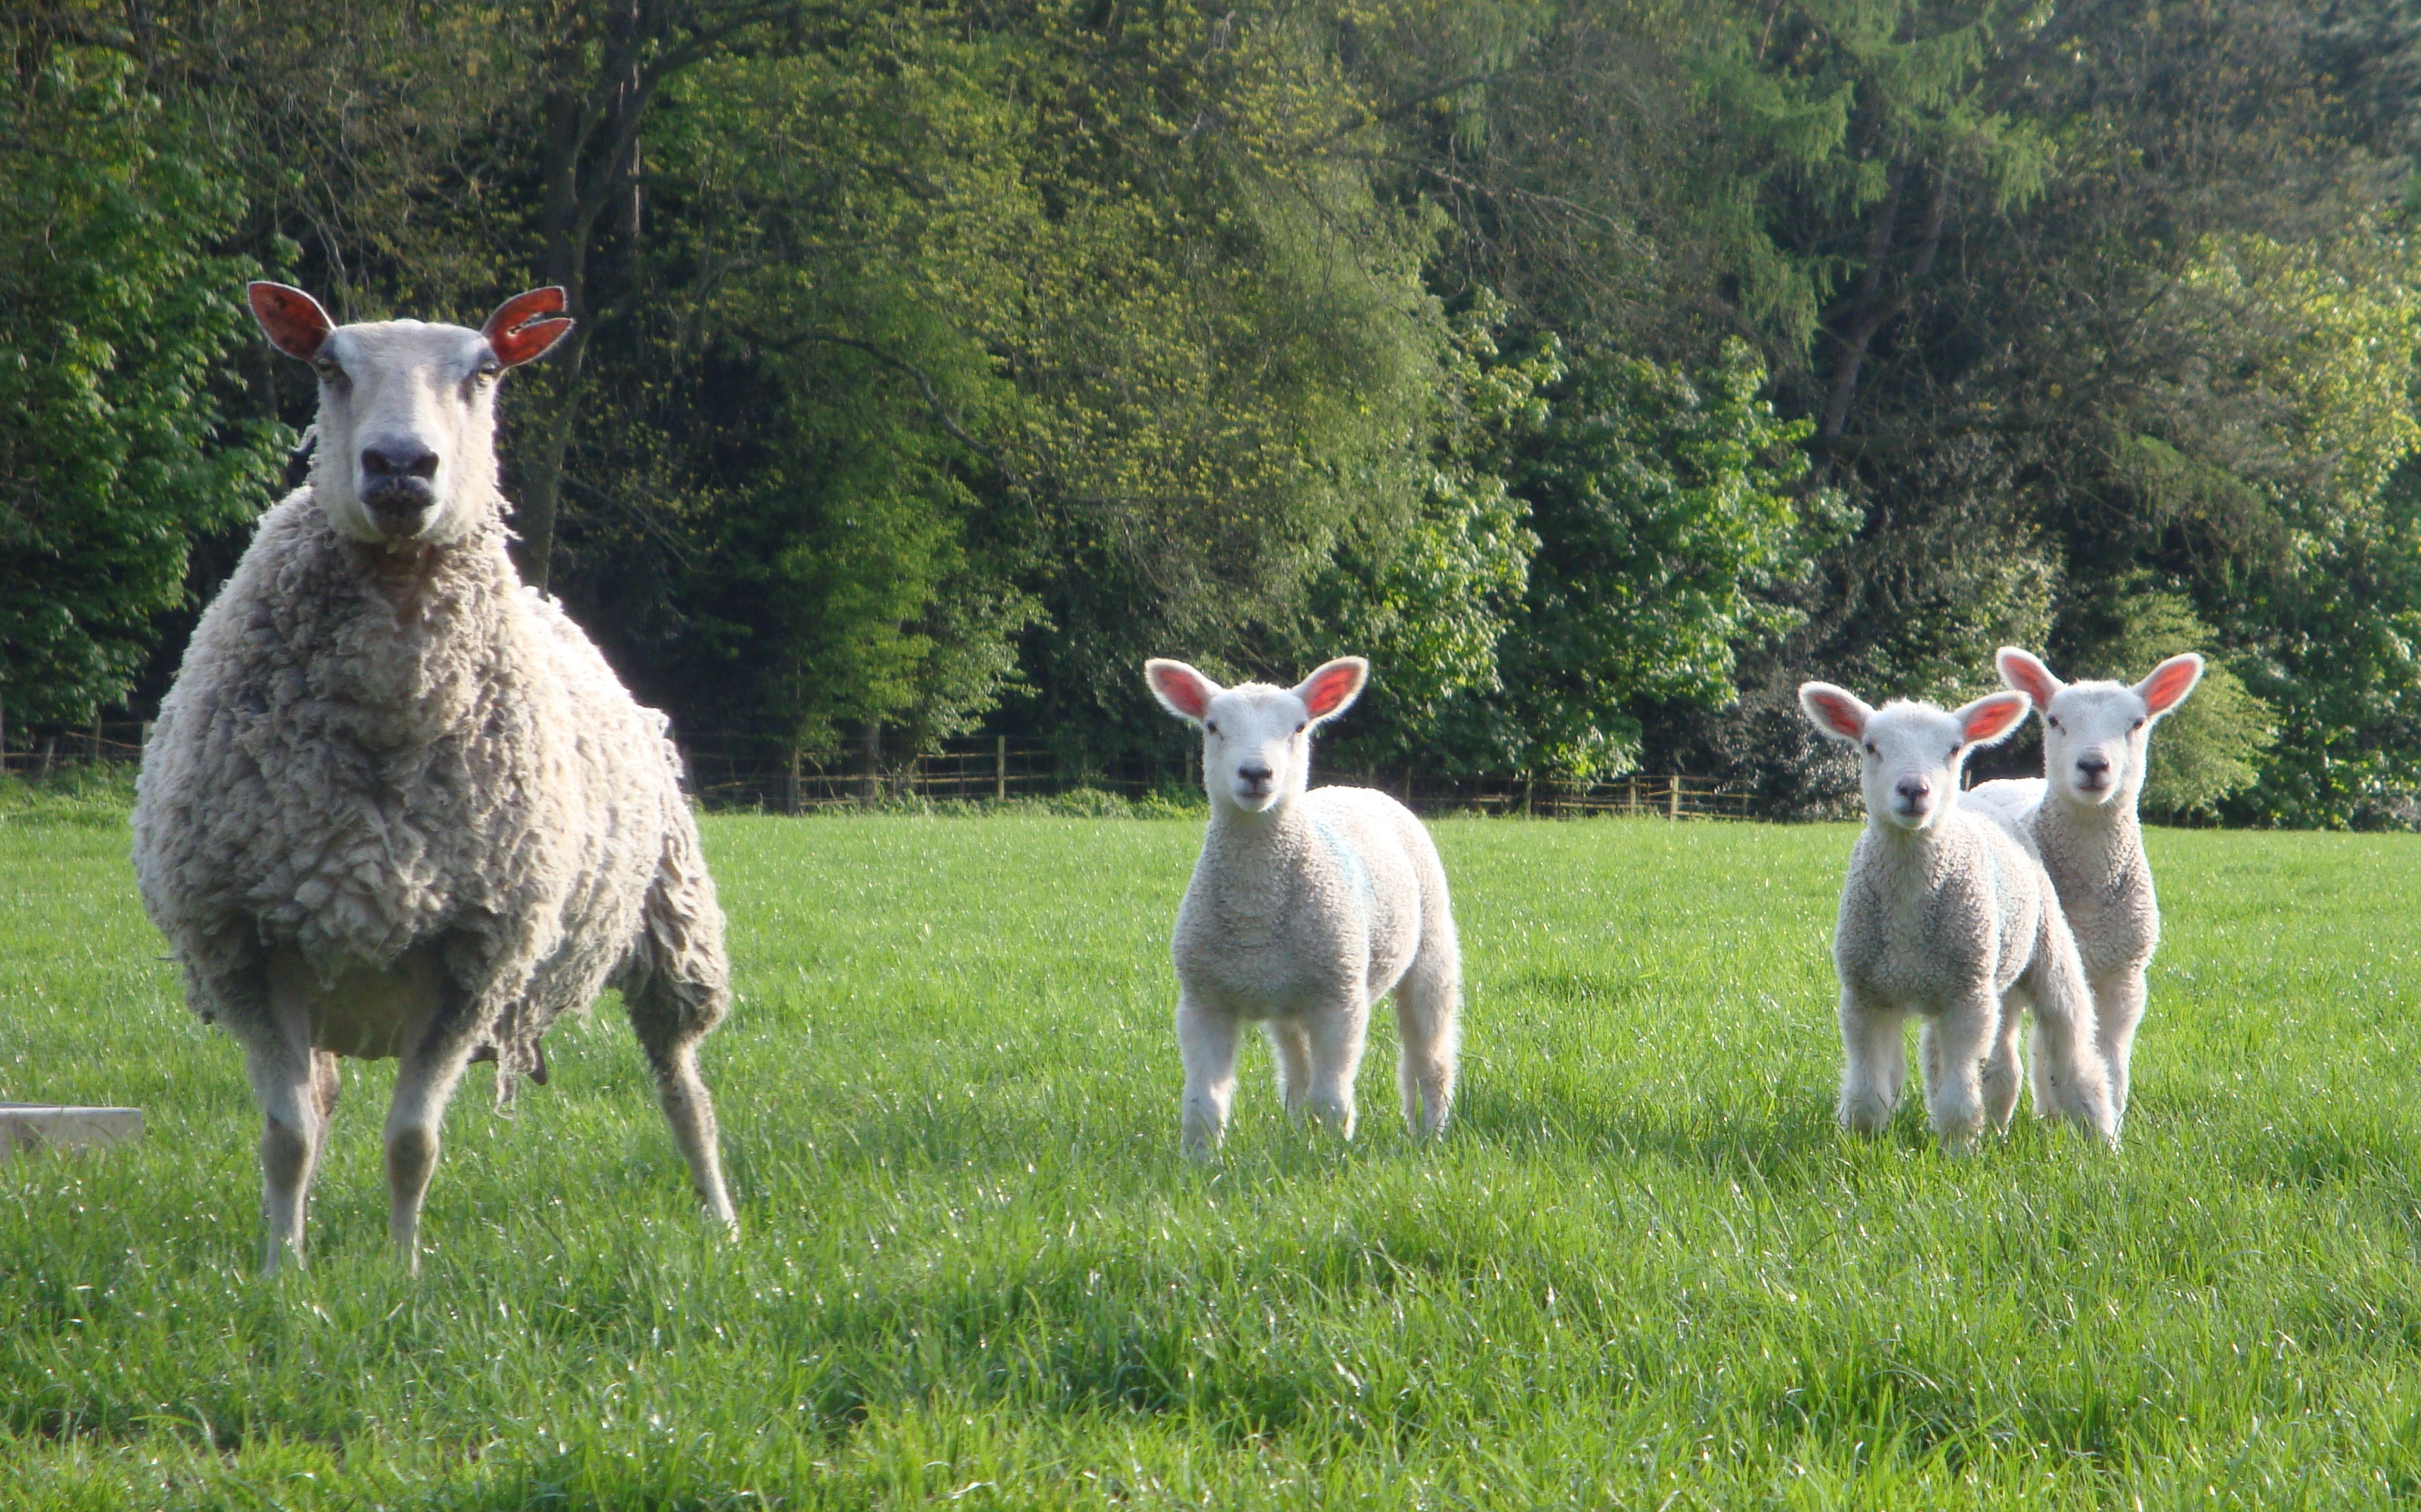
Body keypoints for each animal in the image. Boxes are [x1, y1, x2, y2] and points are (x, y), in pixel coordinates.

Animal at [132, 282, 736, 1273]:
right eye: (328, 367)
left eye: (484, 370)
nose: (401, 467)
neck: (390, 711)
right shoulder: (244, 949)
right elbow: (287, 1137)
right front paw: (281, 1272)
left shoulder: (475, 959)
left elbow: (413, 1144)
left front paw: (404, 1275)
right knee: (321, 1103)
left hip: (669, 925)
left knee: (682, 1084)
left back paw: (720, 1218)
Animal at [1145, 656, 1461, 1159]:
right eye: (1212, 727)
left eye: (1299, 727)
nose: (1256, 773)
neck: (1256, 910)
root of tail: (1353, 788)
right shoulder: (1203, 1000)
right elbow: (1203, 1100)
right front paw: (1198, 1161)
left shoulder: (1340, 998)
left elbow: (1332, 1095)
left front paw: (1330, 1157)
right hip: (1290, 999)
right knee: (1297, 1072)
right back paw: (1300, 1131)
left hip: (1431, 942)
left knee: (1428, 1055)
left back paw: (1429, 1133)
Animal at [1799, 682, 2118, 1150]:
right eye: (1871, 746)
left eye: (1953, 749)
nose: (1914, 790)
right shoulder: (1864, 995)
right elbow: (1867, 1091)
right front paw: (1862, 1146)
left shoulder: (1970, 999)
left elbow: (1961, 1092)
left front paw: (1959, 1150)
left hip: (2047, 949)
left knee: (2075, 1050)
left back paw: (2101, 1136)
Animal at [1963, 647, 2204, 1122]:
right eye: (2055, 720)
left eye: (2137, 723)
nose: (2093, 765)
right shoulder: (2011, 977)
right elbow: (2000, 1070)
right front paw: (1994, 1130)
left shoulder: (2123, 977)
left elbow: (2108, 1067)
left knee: (2047, 1048)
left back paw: (2051, 1116)